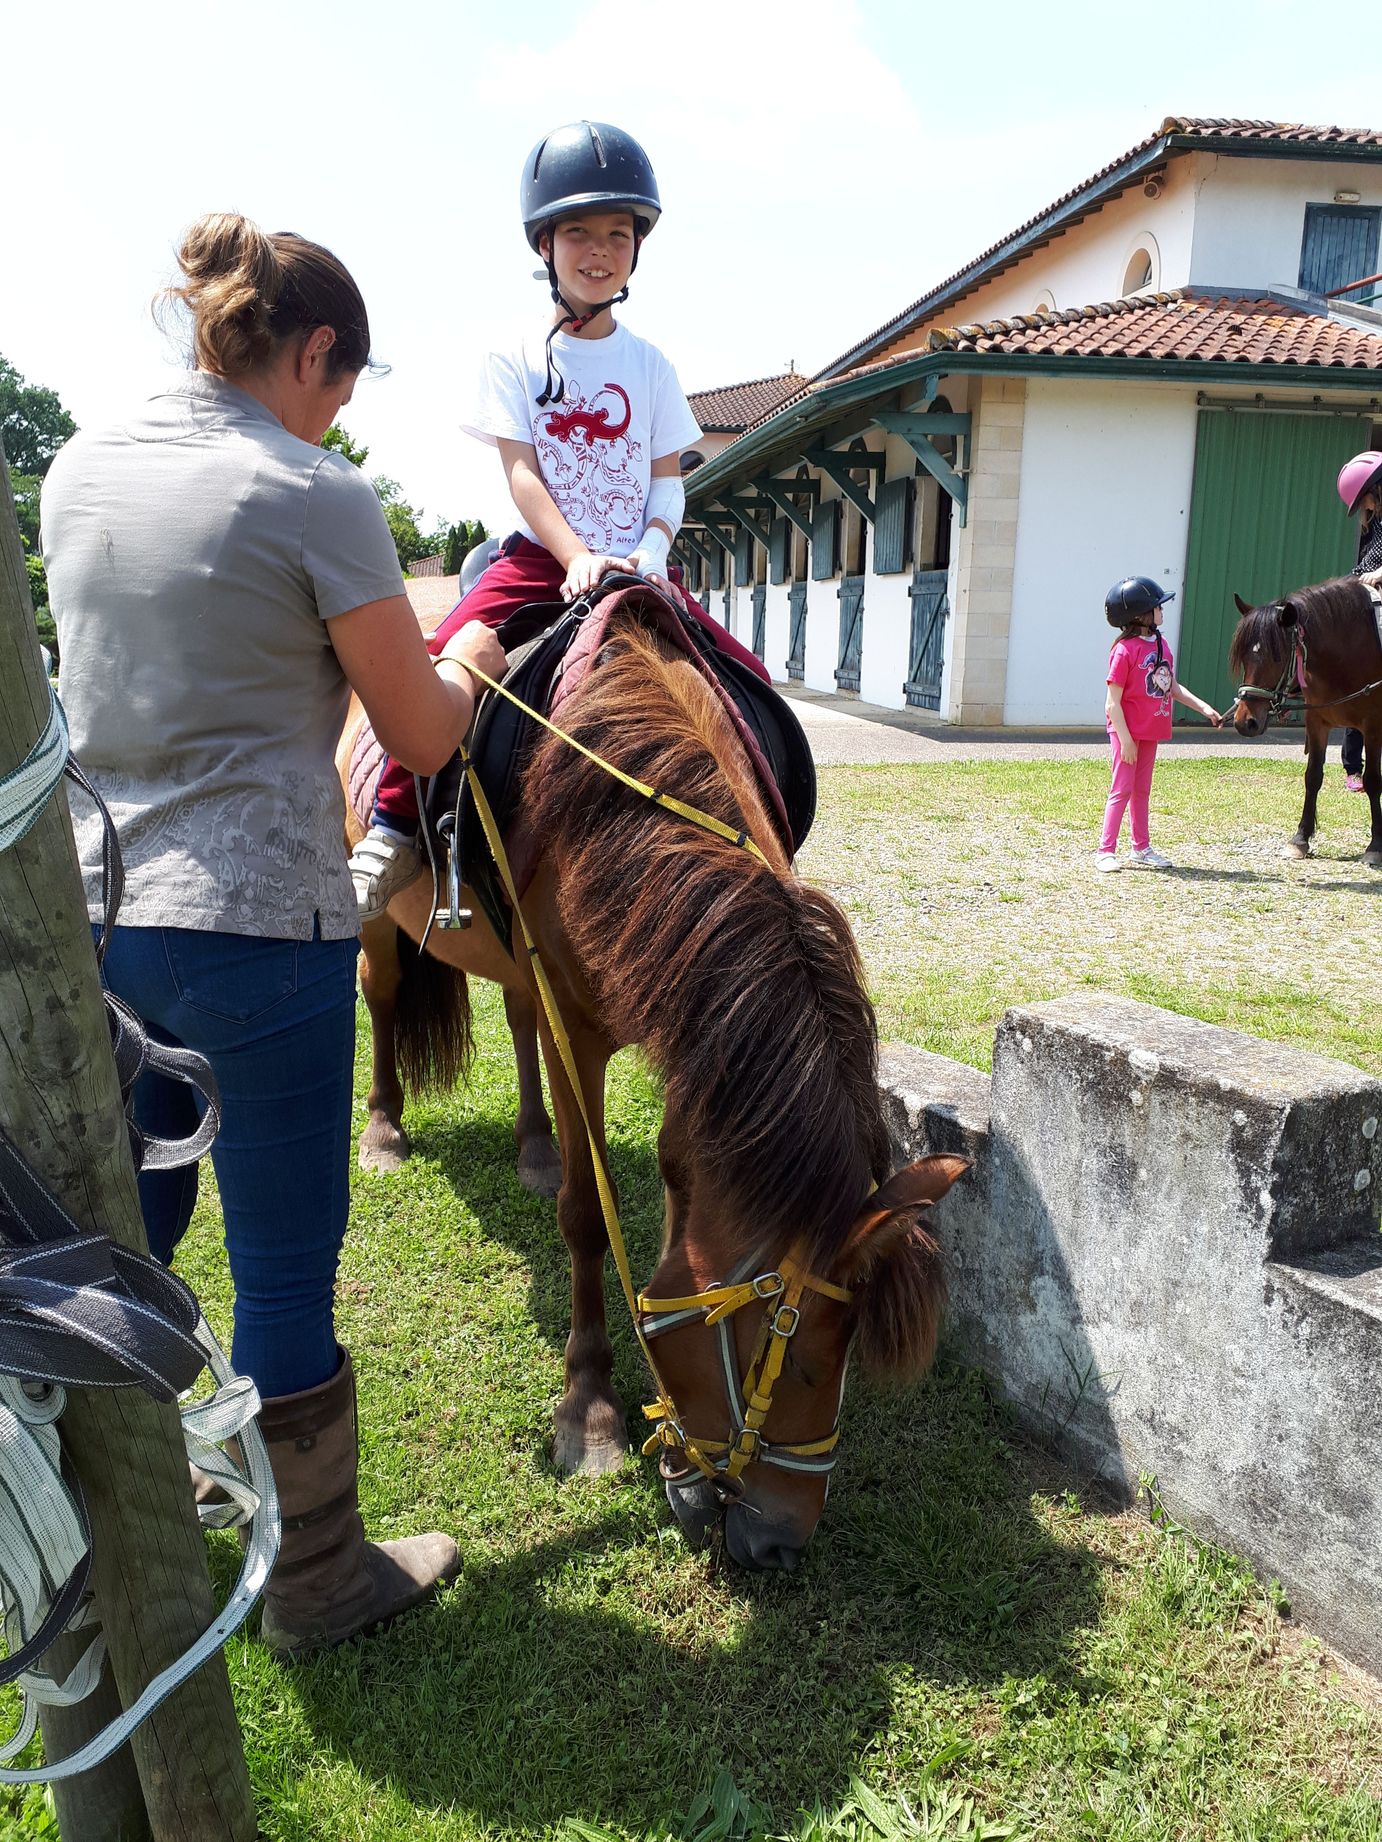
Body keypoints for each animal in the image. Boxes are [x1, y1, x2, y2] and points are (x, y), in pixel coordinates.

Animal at [339, 589, 965, 1569]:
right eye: (801, 1357)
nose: (782, 1544)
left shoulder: (682, 1017)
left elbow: (677, 1165)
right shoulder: (583, 1028)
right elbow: (587, 1218)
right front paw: (590, 1411)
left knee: (515, 1018)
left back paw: (532, 1147)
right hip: (375, 919)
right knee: (384, 991)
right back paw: (384, 1128)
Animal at [1230, 574, 1382, 869]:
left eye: (1276, 656)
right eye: (1243, 656)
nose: (1245, 722)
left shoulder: (1373, 726)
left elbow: (1372, 780)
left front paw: (1375, 846)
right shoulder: (1317, 722)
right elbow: (1313, 777)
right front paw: (1300, 839)